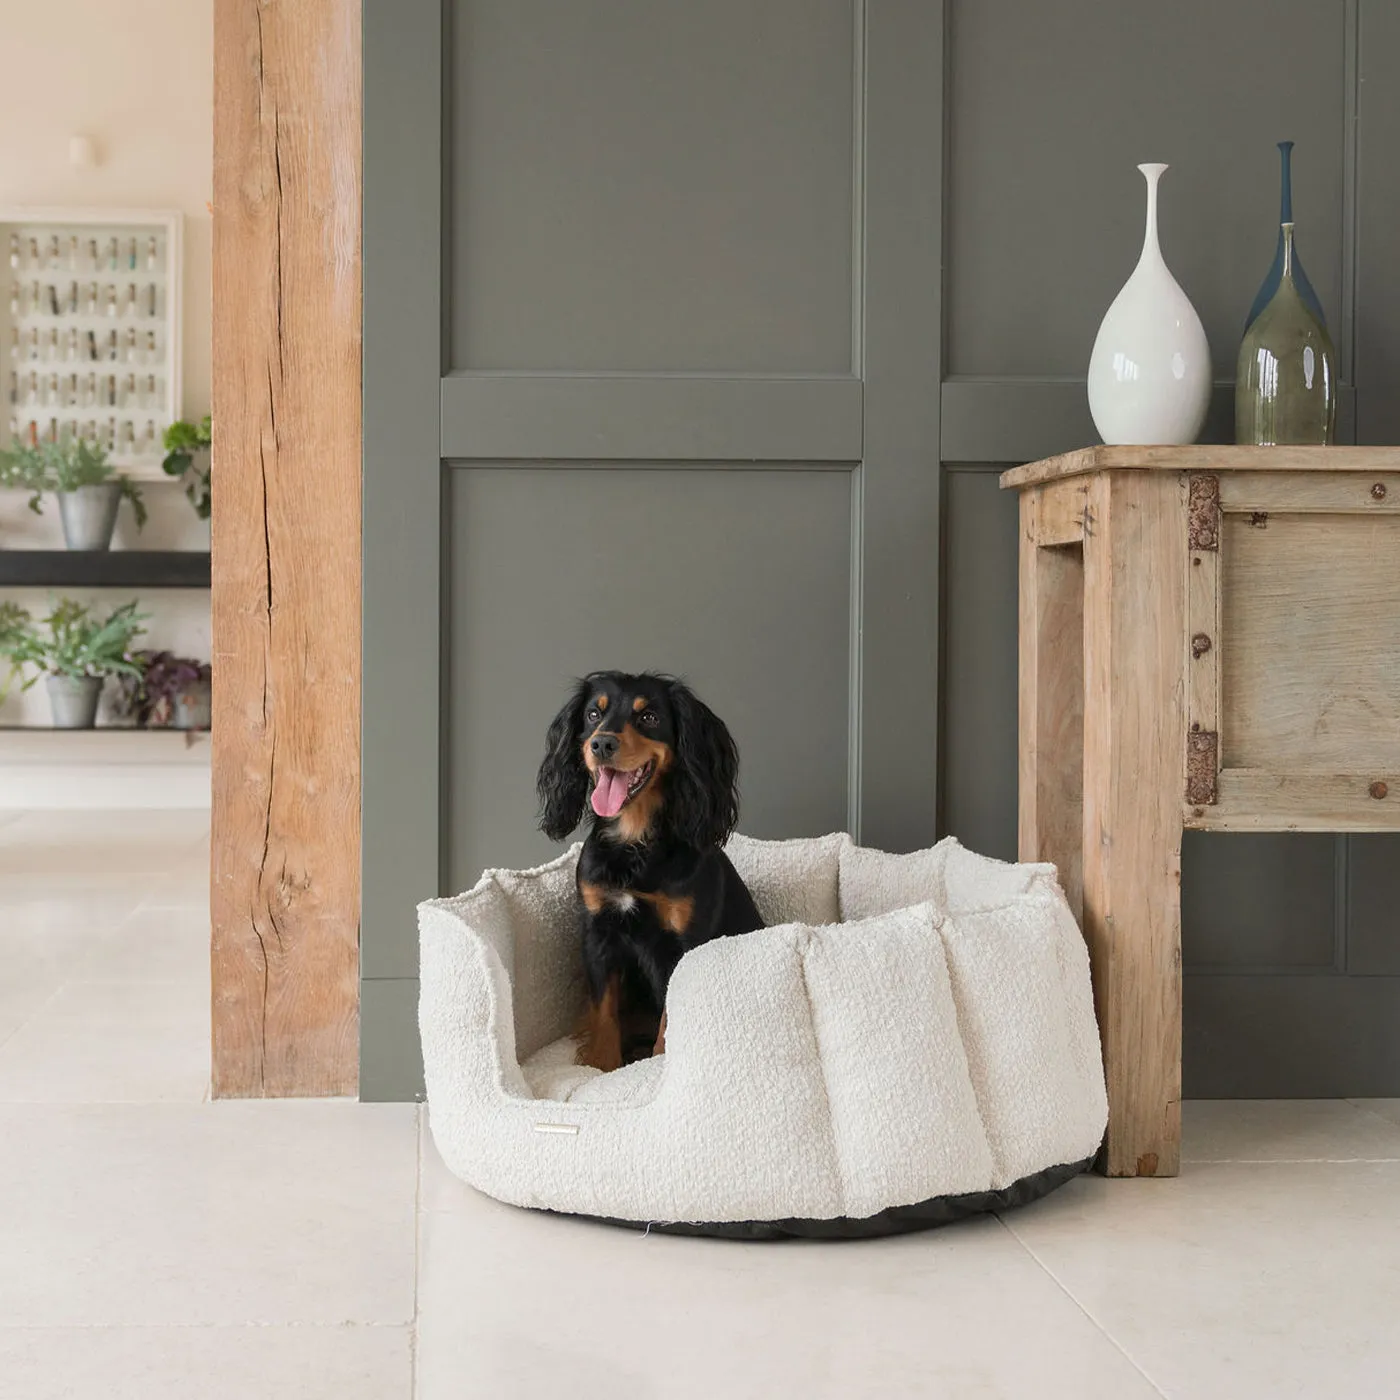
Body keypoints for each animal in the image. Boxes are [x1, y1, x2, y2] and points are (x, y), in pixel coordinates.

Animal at [532, 672, 761, 1064]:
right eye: (593, 714)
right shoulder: (598, 930)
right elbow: (604, 1012)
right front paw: (602, 1066)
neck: (635, 843)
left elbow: (670, 1019)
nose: (602, 744)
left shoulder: (684, 942)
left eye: (649, 717)